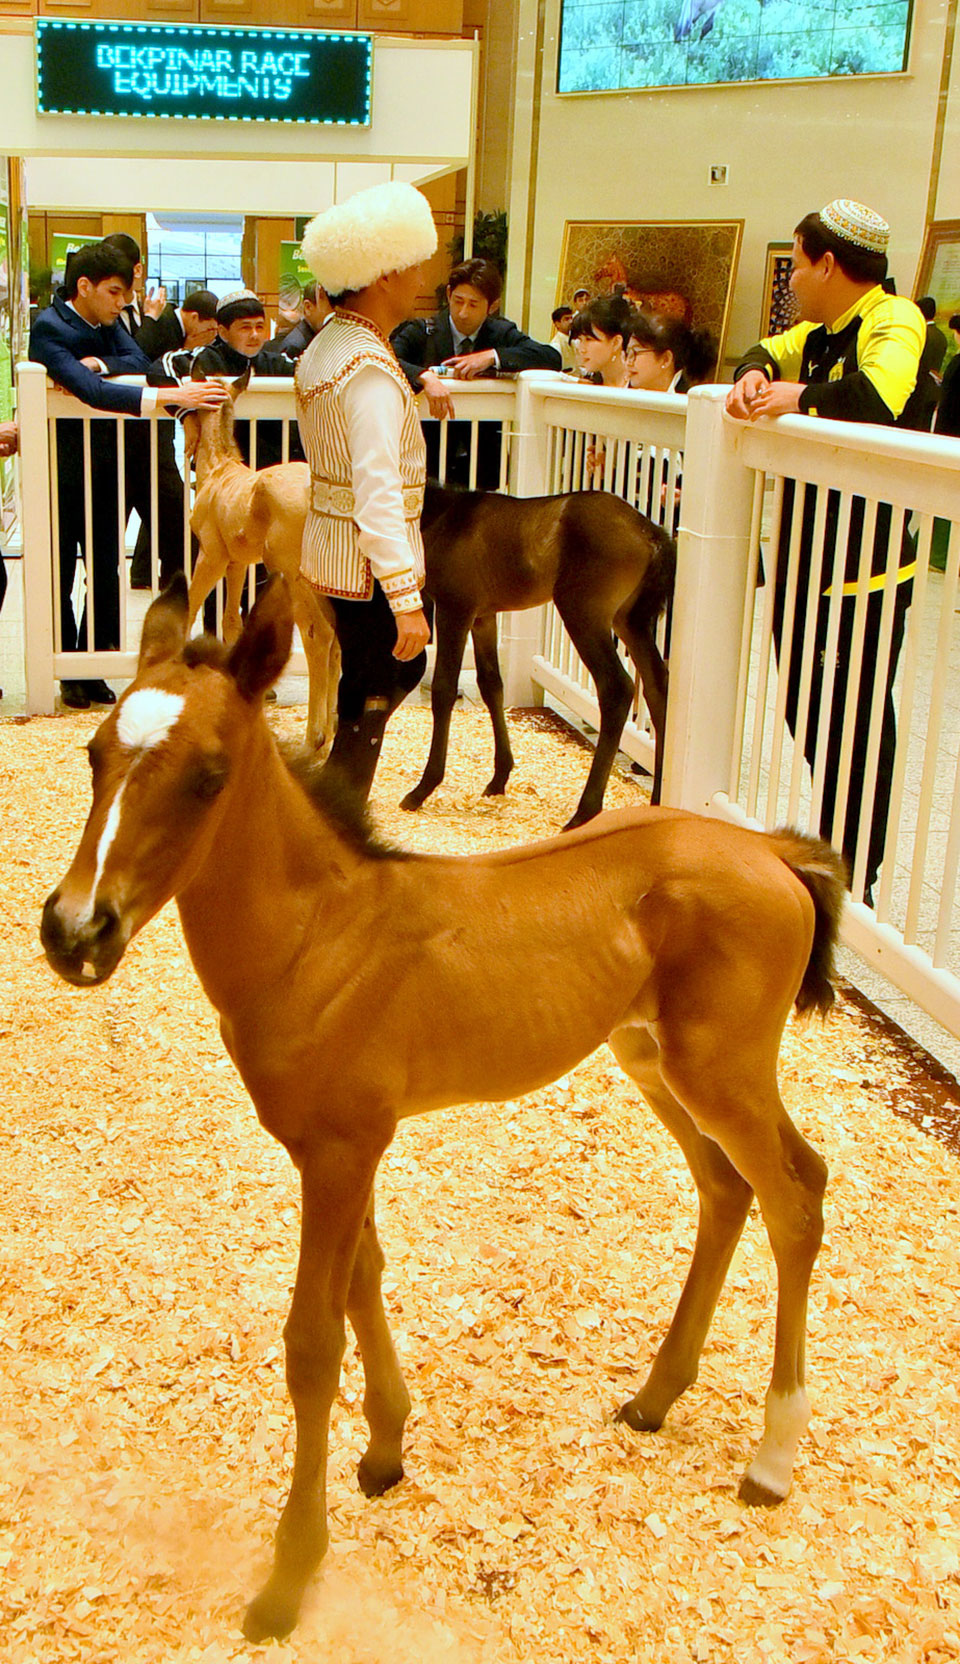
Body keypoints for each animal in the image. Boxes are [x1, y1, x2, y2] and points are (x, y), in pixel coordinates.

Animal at [41, 579, 841, 1644]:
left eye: (209, 777)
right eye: (94, 756)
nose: (73, 931)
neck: (318, 937)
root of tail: (774, 853)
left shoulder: (342, 1149)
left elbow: (312, 1341)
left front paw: (289, 1575)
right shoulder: (334, 1147)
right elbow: (364, 1280)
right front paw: (386, 1450)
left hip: (724, 1068)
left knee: (796, 1195)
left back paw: (772, 1456)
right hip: (653, 1058)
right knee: (727, 1188)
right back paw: (655, 1397)